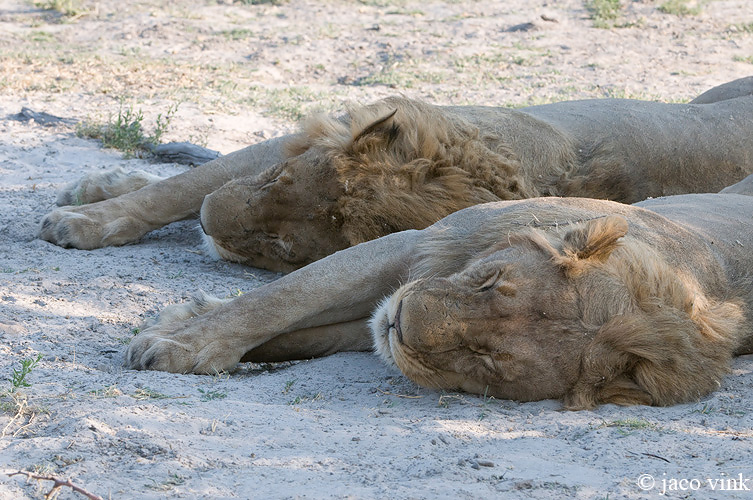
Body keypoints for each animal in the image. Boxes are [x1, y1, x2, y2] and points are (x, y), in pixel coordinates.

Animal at [39, 78, 752, 272]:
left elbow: (195, 186)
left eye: (283, 248)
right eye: (278, 183)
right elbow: (184, 185)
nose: (215, 227)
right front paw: (88, 211)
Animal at [126, 178, 752, 408]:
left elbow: (303, 330)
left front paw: (184, 339)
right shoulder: (426, 240)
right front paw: (180, 338)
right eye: (491, 281)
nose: (402, 319)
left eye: (488, 359)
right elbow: (283, 298)